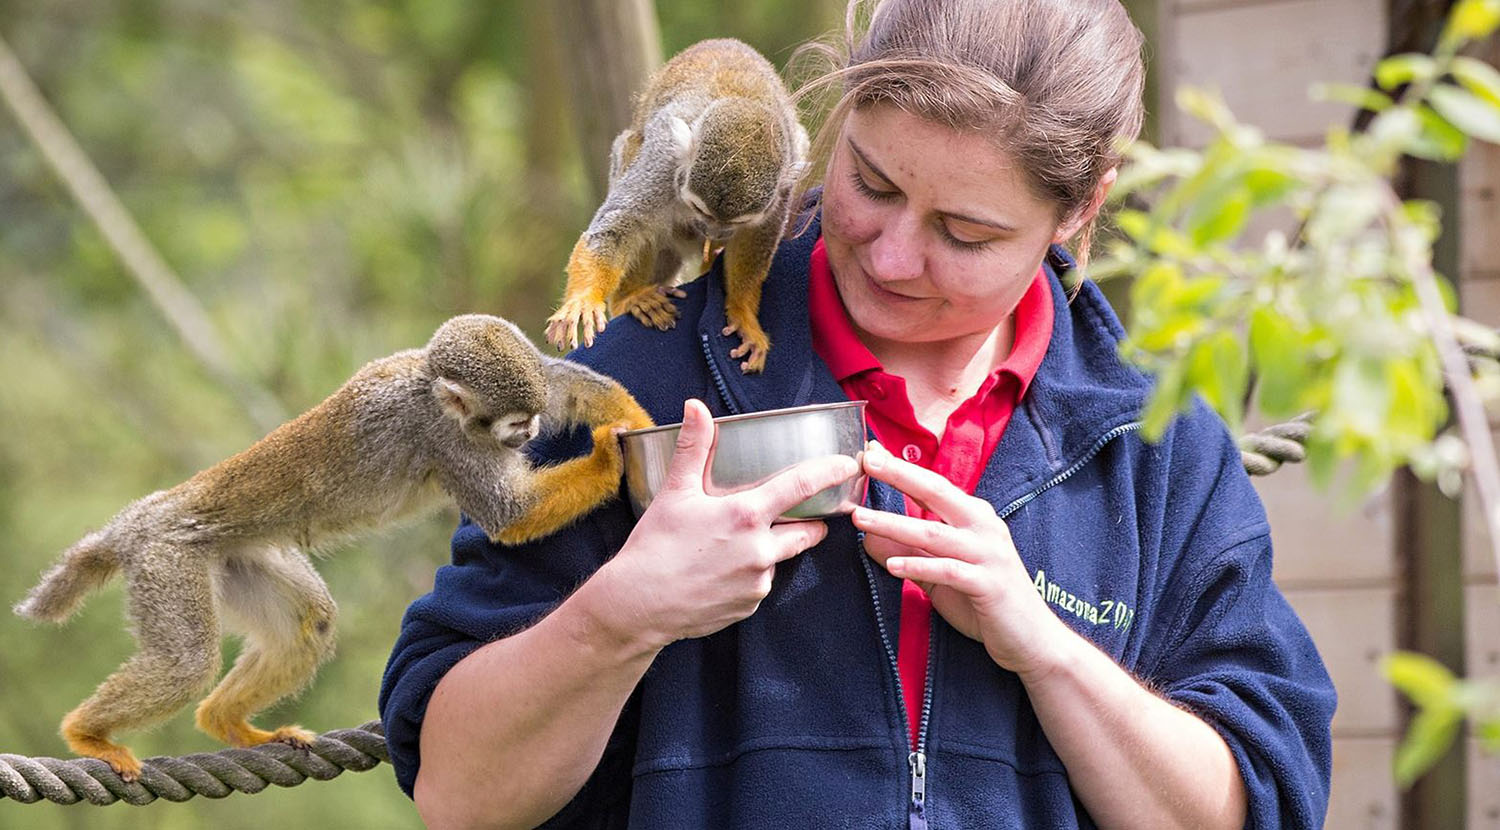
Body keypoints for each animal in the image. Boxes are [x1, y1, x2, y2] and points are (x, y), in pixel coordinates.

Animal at [10, 313, 657, 780]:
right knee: (185, 661)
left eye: (531, 417)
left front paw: (634, 416)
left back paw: (228, 722)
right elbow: (510, 514)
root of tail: (143, 515)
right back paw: (89, 734)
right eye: (513, 424)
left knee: (309, 621)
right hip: (165, 557)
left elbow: (568, 384)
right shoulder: (443, 439)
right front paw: (607, 456)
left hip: (235, 553)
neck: (433, 394)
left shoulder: (521, 383)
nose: (528, 434)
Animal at [546, 38, 810, 372]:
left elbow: (755, 241)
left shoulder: (784, 184)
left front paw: (742, 313)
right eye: (700, 210)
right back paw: (630, 297)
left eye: (734, 223)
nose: (714, 232)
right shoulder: (666, 158)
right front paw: (582, 300)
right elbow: (619, 226)